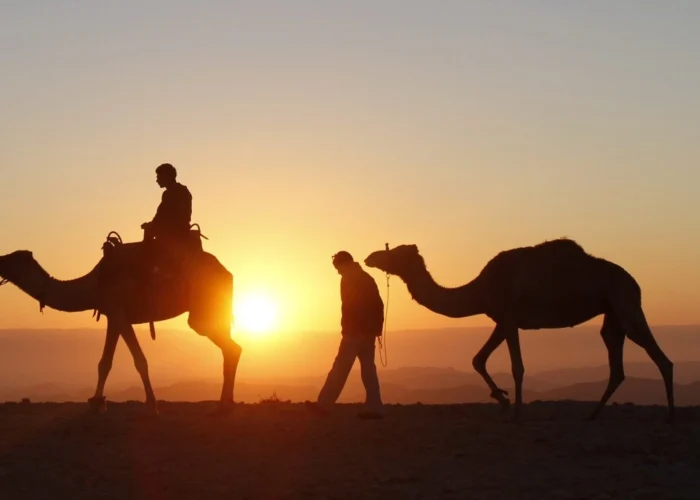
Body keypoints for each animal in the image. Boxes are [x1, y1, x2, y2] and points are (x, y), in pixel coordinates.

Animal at [0, 230, 241, 414]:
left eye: (11, 258)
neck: (93, 285)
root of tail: (227, 272)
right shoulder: (113, 316)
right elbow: (105, 362)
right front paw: (97, 403)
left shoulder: (120, 314)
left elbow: (139, 360)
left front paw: (152, 405)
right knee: (231, 348)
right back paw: (226, 403)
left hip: (203, 309)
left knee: (228, 346)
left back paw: (224, 405)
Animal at [364, 239, 676, 422]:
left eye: (395, 253)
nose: (370, 257)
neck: (479, 290)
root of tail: (634, 282)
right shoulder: (501, 320)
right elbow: (478, 359)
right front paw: (501, 400)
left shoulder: (509, 317)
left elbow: (517, 366)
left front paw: (516, 409)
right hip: (612, 314)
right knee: (617, 363)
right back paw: (592, 413)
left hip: (625, 302)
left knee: (662, 359)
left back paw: (671, 415)